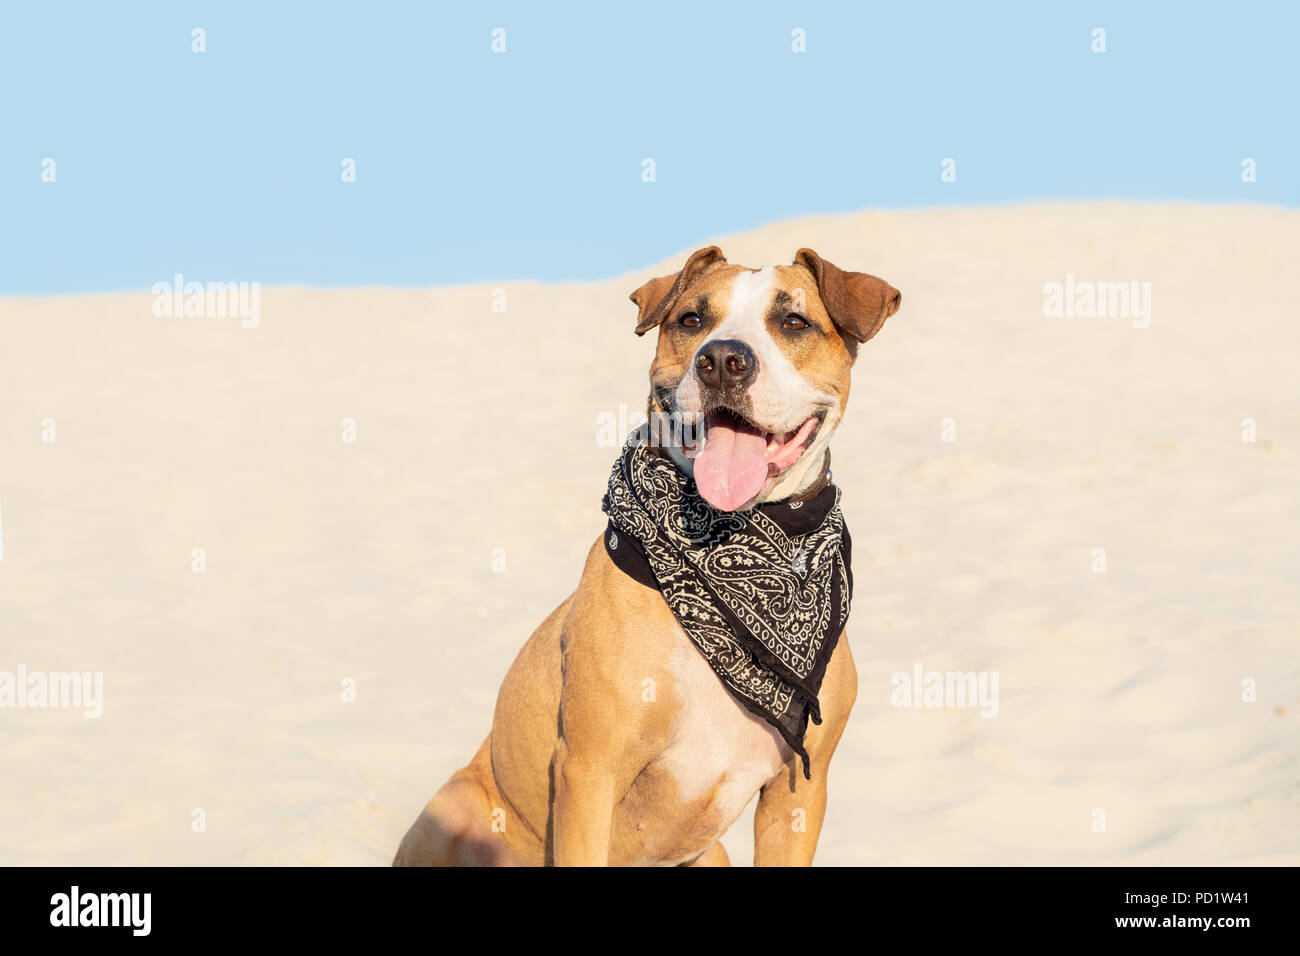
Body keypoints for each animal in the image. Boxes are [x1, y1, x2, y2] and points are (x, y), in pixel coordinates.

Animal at [390, 244, 899, 868]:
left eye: (794, 322)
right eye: (691, 319)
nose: (722, 360)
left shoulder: (799, 792)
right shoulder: (589, 772)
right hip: (457, 809)